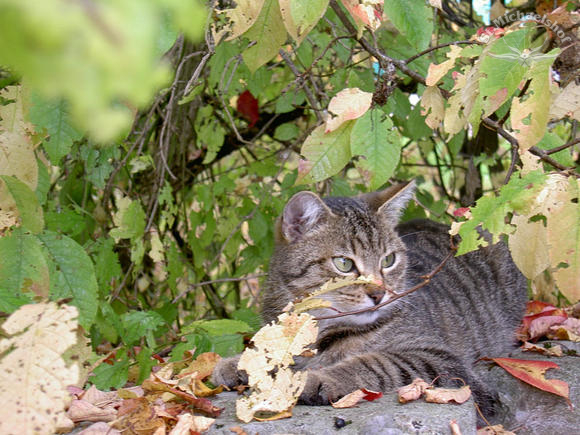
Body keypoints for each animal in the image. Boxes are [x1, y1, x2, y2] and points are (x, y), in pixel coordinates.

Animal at [212, 182, 524, 418]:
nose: (378, 293)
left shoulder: (441, 360)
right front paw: (239, 362)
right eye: (344, 264)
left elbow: (372, 363)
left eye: (388, 260)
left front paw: (319, 378)